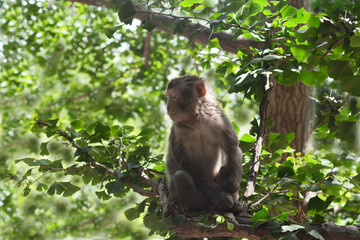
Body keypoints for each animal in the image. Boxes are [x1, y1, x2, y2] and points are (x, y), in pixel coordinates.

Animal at [165, 75, 243, 214]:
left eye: (173, 96)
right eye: (168, 97)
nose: (167, 107)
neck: (196, 121)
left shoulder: (219, 119)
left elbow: (232, 149)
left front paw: (232, 185)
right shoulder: (177, 131)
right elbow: (186, 164)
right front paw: (222, 197)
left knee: (226, 166)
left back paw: (235, 205)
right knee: (181, 177)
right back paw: (192, 206)